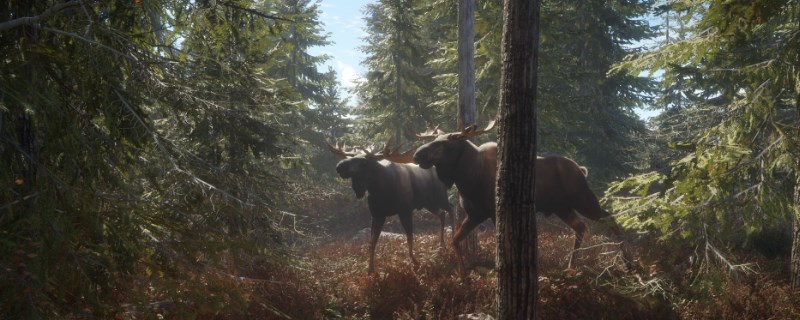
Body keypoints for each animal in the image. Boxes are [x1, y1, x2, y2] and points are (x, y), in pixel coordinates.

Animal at [324, 139, 450, 274]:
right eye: (352, 156)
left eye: (363, 161)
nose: (339, 166)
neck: (381, 190)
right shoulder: (376, 214)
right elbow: (372, 242)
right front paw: (370, 270)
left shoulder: (405, 211)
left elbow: (410, 237)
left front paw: (416, 262)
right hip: (428, 203)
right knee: (442, 213)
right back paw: (442, 244)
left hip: (440, 197)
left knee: (451, 209)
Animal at [412, 121, 632, 276]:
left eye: (444, 143)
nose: (416, 154)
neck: (468, 178)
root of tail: (581, 169)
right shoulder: (475, 214)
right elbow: (455, 240)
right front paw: (464, 275)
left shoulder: (493, 212)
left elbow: (498, 245)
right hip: (563, 208)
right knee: (581, 226)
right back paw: (570, 265)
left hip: (583, 199)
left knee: (610, 217)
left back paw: (628, 263)